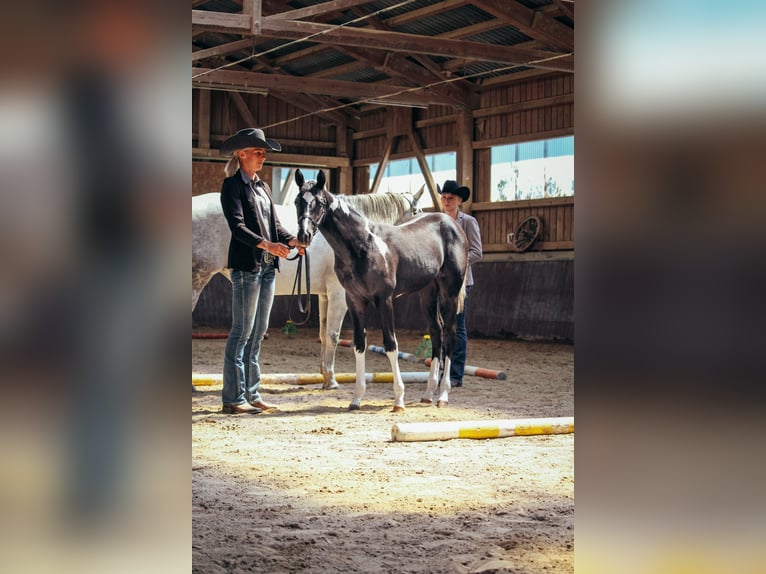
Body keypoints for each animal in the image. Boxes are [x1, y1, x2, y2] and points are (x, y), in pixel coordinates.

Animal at [192, 184, 423, 389]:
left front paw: (325, 375)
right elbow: (333, 335)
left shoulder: (324, 296)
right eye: (417, 211)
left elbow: (323, 334)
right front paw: (331, 381)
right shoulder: (340, 295)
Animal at [294, 169, 468, 412]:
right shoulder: (354, 300)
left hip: (449, 292)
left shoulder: (384, 299)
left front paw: (399, 399)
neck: (364, 244)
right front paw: (356, 398)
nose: (304, 236)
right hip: (427, 294)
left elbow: (390, 344)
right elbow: (359, 344)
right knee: (436, 332)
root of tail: (451, 224)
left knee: (450, 335)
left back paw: (442, 395)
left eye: (318, 202)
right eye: (297, 201)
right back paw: (427, 394)